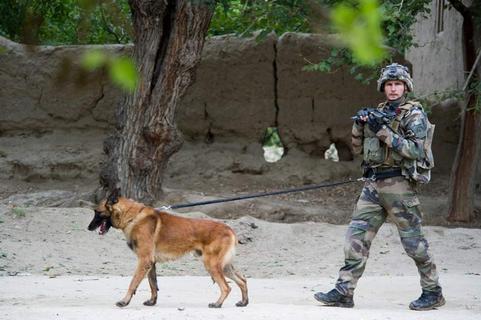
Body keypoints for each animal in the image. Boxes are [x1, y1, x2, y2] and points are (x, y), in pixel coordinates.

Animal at [87, 189, 249, 308]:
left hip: (212, 265)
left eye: (97, 212)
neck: (133, 217)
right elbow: (153, 284)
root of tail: (229, 229)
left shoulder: (144, 260)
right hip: (224, 266)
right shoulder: (150, 263)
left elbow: (133, 283)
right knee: (242, 280)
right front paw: (152, 302)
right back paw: (243, 302)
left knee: (226, 287)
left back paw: (217, 304)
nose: (88, 228)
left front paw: (124, 301)